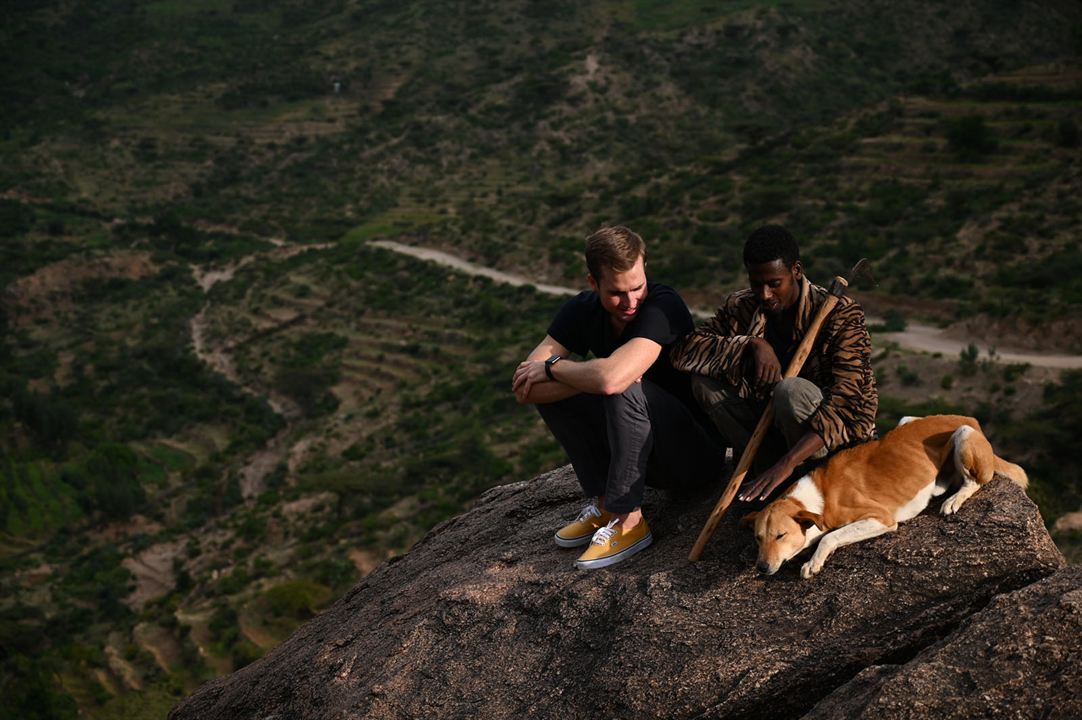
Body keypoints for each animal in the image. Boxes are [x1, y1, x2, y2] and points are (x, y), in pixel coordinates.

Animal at [740, 413, 1025, 576]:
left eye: (781, 535)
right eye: (757, 538)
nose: (761, 567)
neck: (816, 497)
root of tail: (973, 420)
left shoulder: (881, 518)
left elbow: (831, 537)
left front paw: (813, 562)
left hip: (963, 434)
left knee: (975, 481)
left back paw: (953, 499)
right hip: (907, 419)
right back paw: (939, 485)